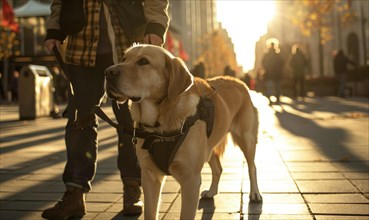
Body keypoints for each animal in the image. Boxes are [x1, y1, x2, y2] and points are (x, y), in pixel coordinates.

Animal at [104, 44, 262, 218]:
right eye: (124, 59)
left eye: (143, 61)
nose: (108, 72)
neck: (159, 125)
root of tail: (238, 81)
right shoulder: (149, 176)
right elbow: (150, 213)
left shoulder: (190, 178)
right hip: (208, 147)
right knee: (218, 169)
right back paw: (211, 191)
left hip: (246, 139)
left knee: (252, 167)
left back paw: (255, 194)